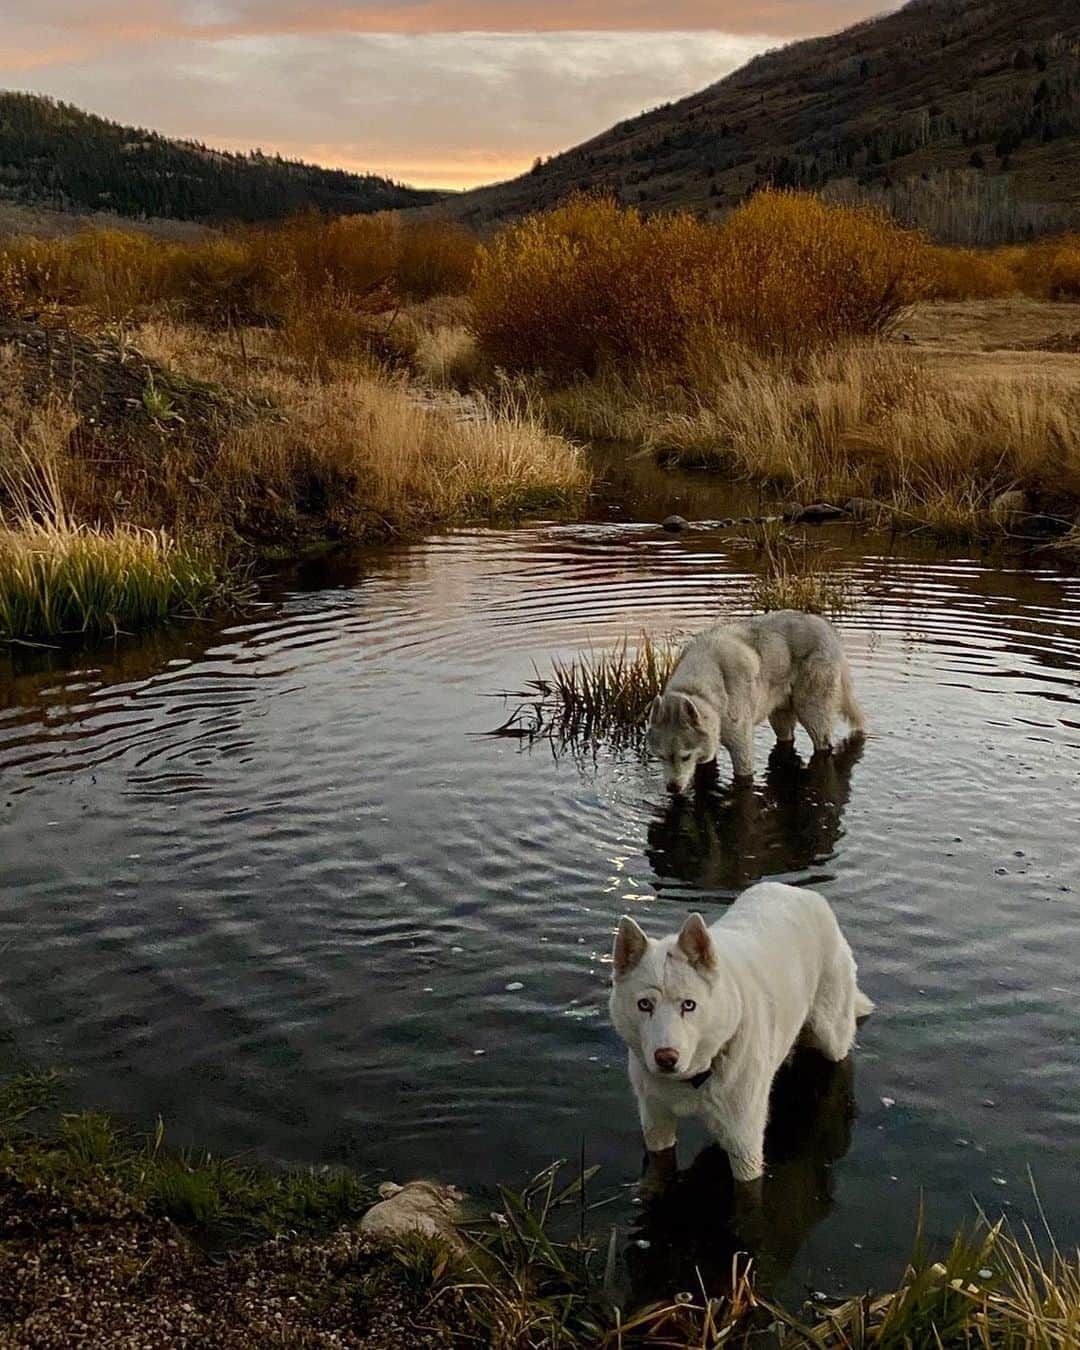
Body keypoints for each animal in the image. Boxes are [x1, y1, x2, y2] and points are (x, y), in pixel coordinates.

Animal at [612, 880, 874, 1177]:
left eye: (689, 1005)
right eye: (644, 1004)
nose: (666, 1058)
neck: (695, 1077)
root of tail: (802, 893)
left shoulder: (744, 1144)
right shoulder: (656, 1125)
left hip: (831, 1037)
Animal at [645, 612, 864, 788]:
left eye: (685, 757)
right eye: (661, 757)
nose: (672, 788)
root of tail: (826, 626)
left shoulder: (741, 747)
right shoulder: (709, 746)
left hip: (812, 715)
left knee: (824, 746)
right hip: (779, 719)